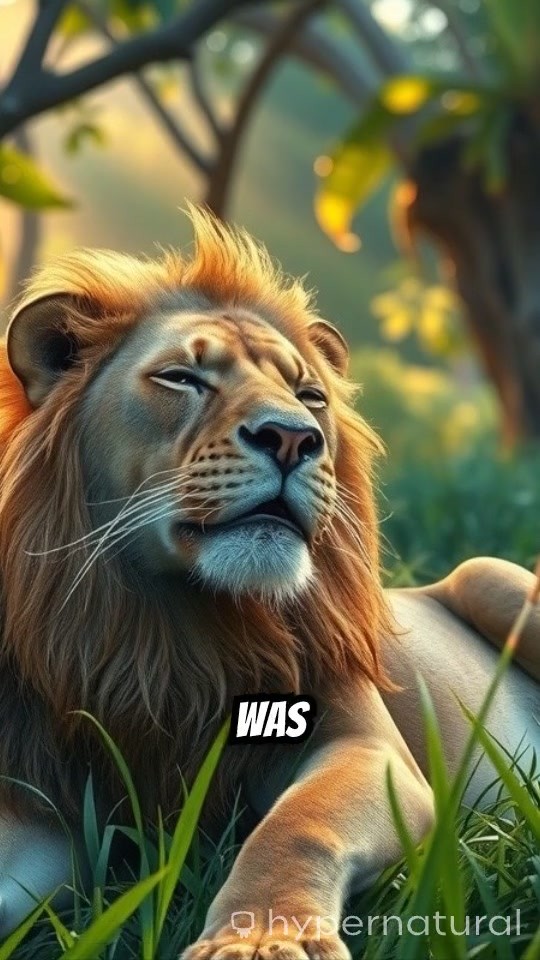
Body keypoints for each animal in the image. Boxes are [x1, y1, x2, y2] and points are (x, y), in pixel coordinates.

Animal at [0, 208, 538, 956]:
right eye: (181, 378)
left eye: (310, 395)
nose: (293, 437)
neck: (174, 628)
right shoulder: (48, 804)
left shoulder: (364, 747)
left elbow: (296, 825)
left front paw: (260, 939)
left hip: (491, 574)